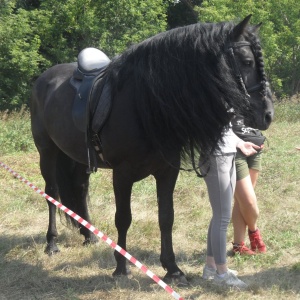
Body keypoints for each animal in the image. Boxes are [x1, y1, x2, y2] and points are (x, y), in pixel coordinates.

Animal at [30, 15, 274, 284]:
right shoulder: (122, 175)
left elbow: (166, 217)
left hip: (78, 158)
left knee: (80, 191)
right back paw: (51, 243)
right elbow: (123, 218)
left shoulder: (167, 172)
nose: (267, 114)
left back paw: (89, 235)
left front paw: (172, 268)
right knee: (51, 193)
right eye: (248, 62)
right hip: (47, 151)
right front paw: (121, 266)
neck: (144, 102)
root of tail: (44, 78)